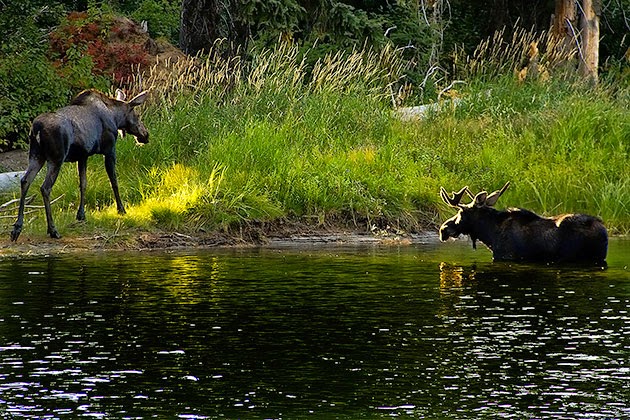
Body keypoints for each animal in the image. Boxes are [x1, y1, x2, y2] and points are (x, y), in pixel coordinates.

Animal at [10, 88, 149, 241]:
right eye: (137, 115)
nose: (146, 134)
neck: (115, 117)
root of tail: (37, 129)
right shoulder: (110, 150)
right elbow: (114, 181)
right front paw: (121, 209)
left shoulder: (83, 156)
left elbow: (83, 184)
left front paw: (81, 214)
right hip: (56, 158)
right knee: (45, 187)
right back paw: (53, 229)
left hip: (36, 156)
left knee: (25, 181)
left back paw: (17, 228)